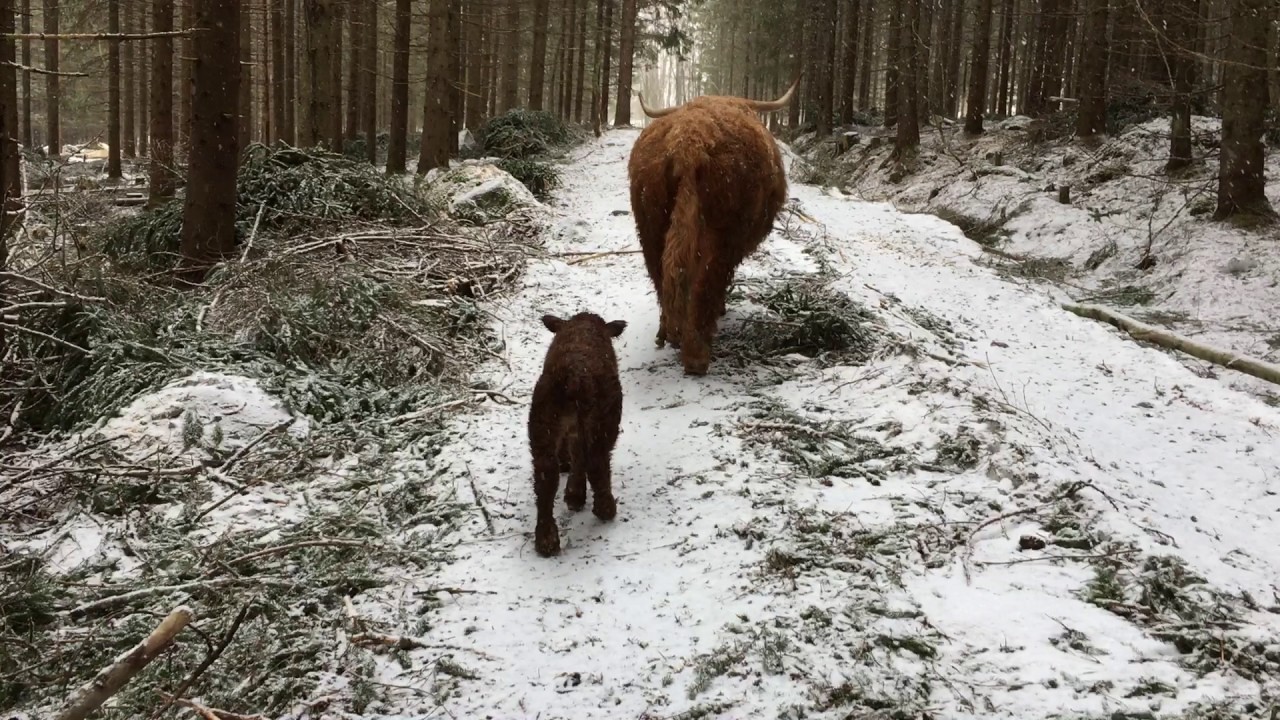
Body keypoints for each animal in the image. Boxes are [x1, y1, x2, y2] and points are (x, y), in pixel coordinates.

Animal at [527, 312, 627, 557]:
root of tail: (574, 374)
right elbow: (581, 456)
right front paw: (576, 494)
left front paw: (573, 493)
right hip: (604, 419)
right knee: (597, 462)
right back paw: (605, 508)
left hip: (542, 424)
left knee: (545, 476)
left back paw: (546, 540)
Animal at [627, 76, 799, 376]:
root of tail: (690, 144)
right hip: (724, 235)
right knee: (707, 281)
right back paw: (697, 355)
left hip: (649, 227)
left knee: (663, 275)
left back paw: (668, 333)